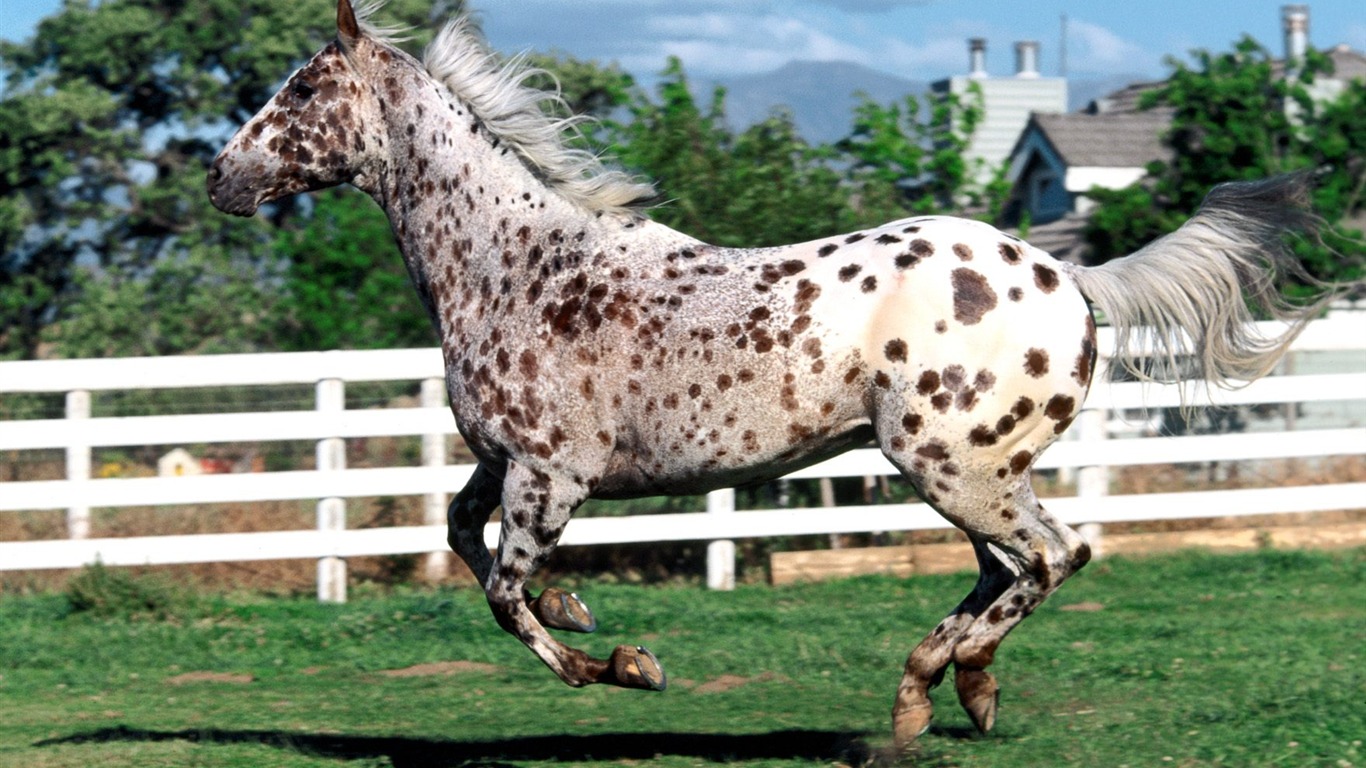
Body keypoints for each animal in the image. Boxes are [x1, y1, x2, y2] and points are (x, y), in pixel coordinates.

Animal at [207, 0, 1338, 743]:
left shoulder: (549, 476)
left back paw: (945, 683)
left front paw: (626, 663)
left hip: (953, 465)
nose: (220, 175)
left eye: (301, 89)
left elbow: (503, 593)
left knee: (1054, 558)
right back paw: (938, 692)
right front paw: (582, 614)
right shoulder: (499, 464)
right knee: (1006, 570)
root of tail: (1065, 272)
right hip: (969, 472)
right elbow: (460, 540)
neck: (516, 267)